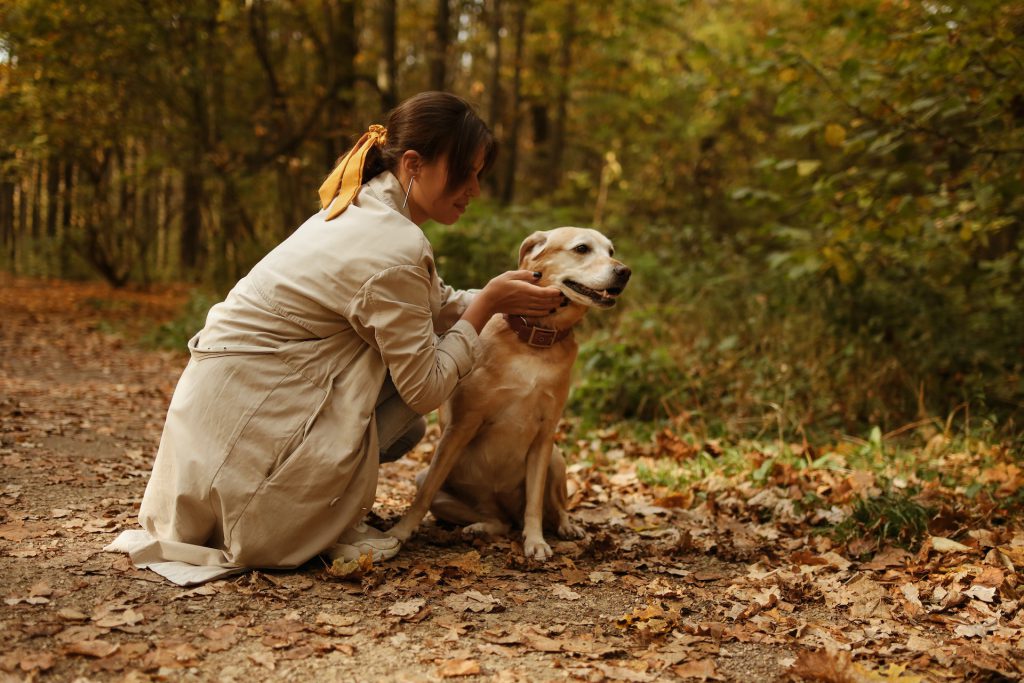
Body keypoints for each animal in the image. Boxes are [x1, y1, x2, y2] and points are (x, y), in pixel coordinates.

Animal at [387, 227, 630, 557]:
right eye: (582, 248)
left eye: (611, 251)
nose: (624, 271)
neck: (535, 342)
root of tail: (505, 510)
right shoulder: (461, 426)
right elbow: (424, 494)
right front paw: (400, 532)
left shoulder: (545, 435)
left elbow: (535, 504)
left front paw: (535, 541)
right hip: (436, 480)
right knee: (495, 521)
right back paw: (478, 528)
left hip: (556, 459)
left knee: (552, 509)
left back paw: (566, 527)